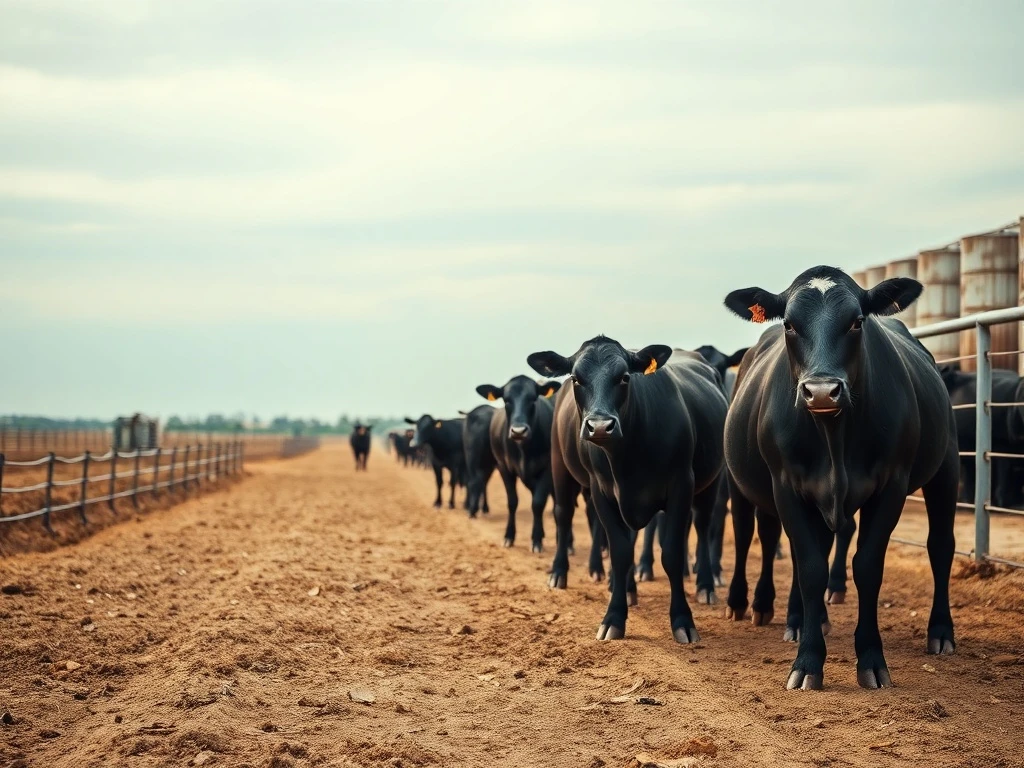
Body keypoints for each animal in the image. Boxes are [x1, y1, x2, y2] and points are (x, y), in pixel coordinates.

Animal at [475, 376, 561, 551]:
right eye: (507, 400)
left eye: (533, 399)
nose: (519, 431)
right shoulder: (504, 467)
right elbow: (512, 502)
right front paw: (509, 536)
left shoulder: (548, 469)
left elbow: (538, 503)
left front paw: (536, 540)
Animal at [528, 337, 728, 643]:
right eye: (576, 378)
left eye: (624, 377)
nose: (600, 426)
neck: (628, 458)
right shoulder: (602, 493)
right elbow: (621, 553)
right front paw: (613, 617)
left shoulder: (682, 484)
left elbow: (671, 554)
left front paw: (683, 621)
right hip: (559, 466)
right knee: (563, 515)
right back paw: (561, 573)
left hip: (711, 481)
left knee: (703, 526)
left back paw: (705, 585)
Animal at [723, 266, 958, 690]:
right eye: (790, 324)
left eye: (857, 321)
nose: (821, 391)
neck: (834, 438)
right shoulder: (785, 485)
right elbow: (810, 567)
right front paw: (807, 661)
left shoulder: (892, 485)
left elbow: (867, 567)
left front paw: (871, 658)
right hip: (742, 483)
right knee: (753, 534)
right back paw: (753, 605)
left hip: (946, 468)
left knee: (941, 546)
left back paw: (941, 631)